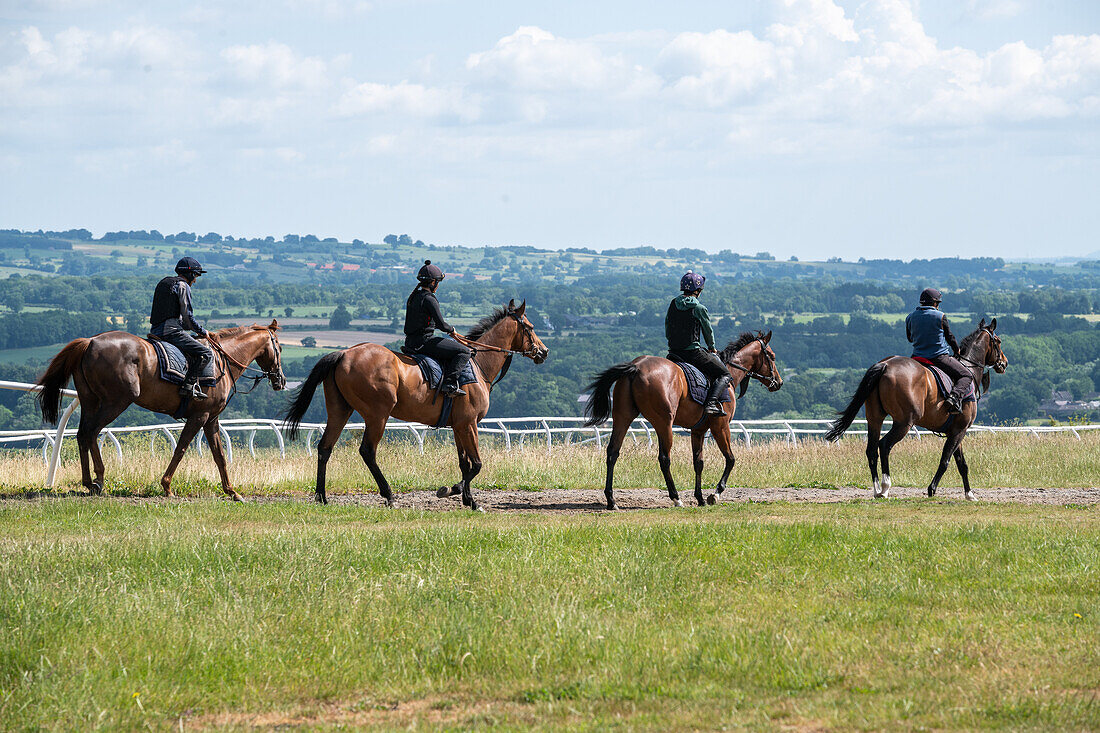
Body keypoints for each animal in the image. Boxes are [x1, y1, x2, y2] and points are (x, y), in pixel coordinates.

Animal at [37, 321, 288, 499]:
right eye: (279, 348)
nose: (281, 380)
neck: (222, 362)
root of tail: (90, 342)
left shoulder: (211, 419)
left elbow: (220, 455)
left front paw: (232, 491)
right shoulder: (199, 417)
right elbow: (181, 449)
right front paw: (166, 486)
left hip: (90, 400)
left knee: (82, 434)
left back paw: (88, 482)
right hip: (115, 402)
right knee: (91, 432)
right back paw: (98, 480)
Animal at [279, 299, 545, 510]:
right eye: (530, 327)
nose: (544, 351)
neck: (479, 364)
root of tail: (343, 354)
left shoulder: (459, 426)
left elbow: (465, 463)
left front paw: (469, 500)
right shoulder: (469, 424)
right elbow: (477, 464)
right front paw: (454, 490)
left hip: (340, 410)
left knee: (325, 447)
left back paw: (321, 497)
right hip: (378, 415)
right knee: (367, 451)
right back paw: (388, 495)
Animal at [585, 330, 783, 508]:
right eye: (772, 357)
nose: (779, 383)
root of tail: (636, 366)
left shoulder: (698, 430)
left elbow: (698, 463)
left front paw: (700, 498)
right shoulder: (721, 426)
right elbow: (730, 459)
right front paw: (715, 494)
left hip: (623, 417)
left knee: (613, 452)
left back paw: (611, 500)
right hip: (664, 423)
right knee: (664, 458)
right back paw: (676, 498)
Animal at [827, 316, 1007, 499]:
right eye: (998, 341)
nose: (1004, 363)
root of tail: (886, 365)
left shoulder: (955, 430)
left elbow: (962, 464)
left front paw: (969, 494)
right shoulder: (959, 430)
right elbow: (946, 460)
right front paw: (932, 489)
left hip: (875, 419)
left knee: (871, 450)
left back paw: (877, 489)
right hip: (904, 423)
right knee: (884, 445)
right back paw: (885, 487)